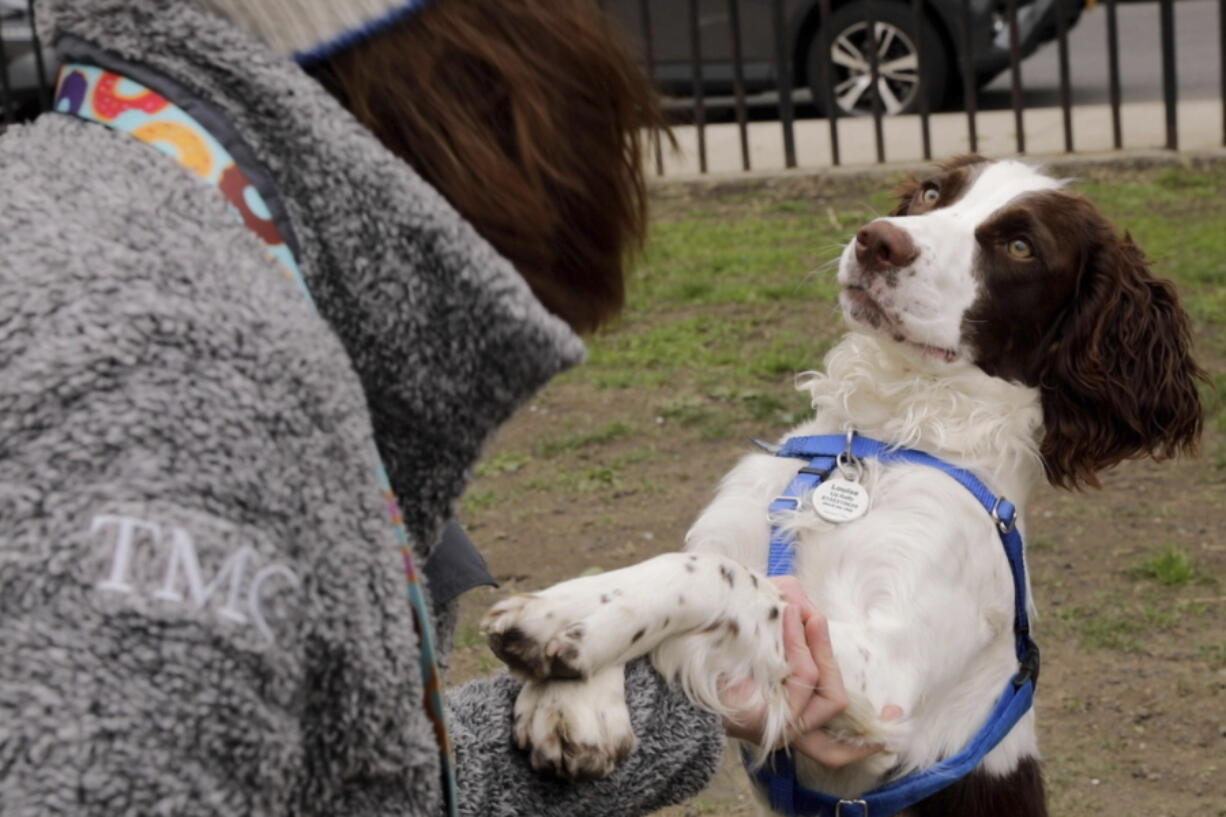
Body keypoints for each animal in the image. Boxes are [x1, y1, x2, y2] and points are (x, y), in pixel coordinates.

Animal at [483, 155, 1201, 809]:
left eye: (1021, 246)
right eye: (933, 193)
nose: (877, 240)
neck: (879, 441)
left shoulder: (884, 689)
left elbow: (728, 582)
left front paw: (563, 617)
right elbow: (685, 568)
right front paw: (576, 695)